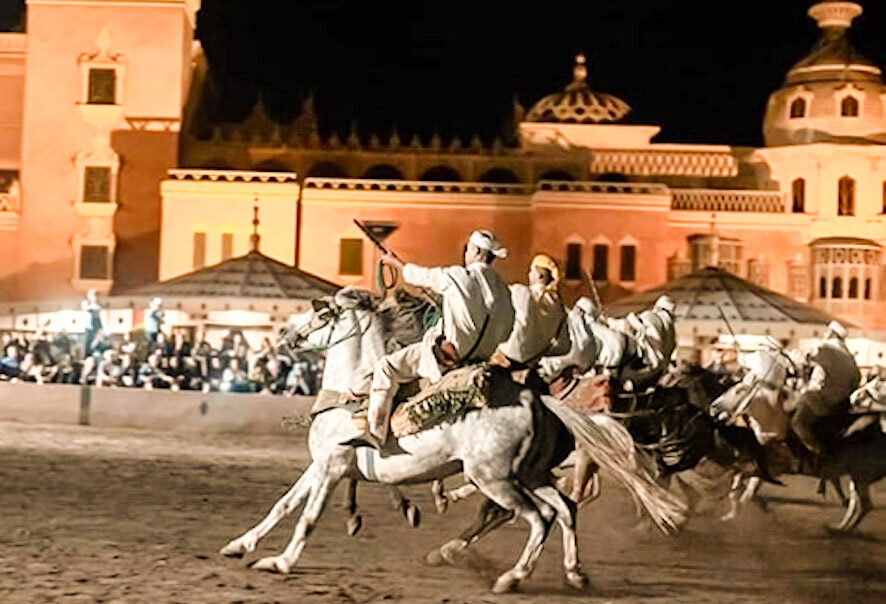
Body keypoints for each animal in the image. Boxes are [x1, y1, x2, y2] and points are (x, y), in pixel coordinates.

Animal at [220, 290, 688, 596]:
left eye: (320, 313)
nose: (286, 335)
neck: (351, 390)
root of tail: (538, 400)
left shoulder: (333, 469)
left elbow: (308, 518)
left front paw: (281, 562)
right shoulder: (319, 466)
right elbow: (282, 505)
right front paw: (240, 545)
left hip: (495, 479)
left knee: (537, 518)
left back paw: (510, 578)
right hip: (530, 475)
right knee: (565, 510)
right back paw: (574, 574)